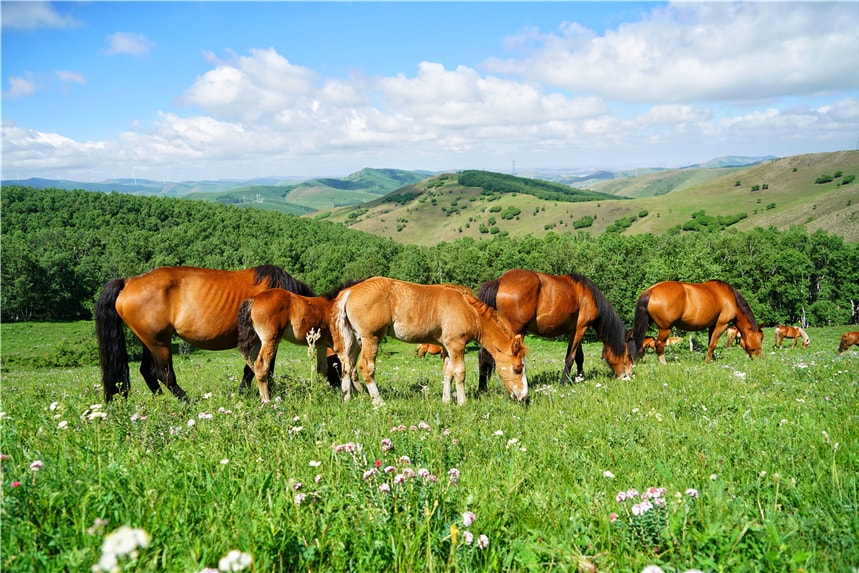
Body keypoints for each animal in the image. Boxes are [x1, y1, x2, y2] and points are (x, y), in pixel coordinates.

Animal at [96, 264, 316, 402]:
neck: (289, 300)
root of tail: (129, 281)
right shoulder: (265, 340)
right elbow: (260, 369)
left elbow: (254, 369)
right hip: (159, 342)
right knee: (163, 374)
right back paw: (187, 402)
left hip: (150, 341)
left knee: (147, 372)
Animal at [330, 278, 528, 406]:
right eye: (517, 369)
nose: (524, 397)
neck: (468, 310)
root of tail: (350, 291)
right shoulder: (456, 345)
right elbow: (459, 372)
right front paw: (462, 402)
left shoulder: (446, 347)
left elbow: (447, 372)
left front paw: (446, 401)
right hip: (371, 337)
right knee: (365, 367)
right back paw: (379, 402)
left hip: (354, 340)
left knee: (347, 365)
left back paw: (347, 399)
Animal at [478, 270, 632, 388]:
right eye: (628, 355)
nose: (627, 376)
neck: (589, 295)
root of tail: (499, 281)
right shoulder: (581, 328)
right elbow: (570, 358)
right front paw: (564, 383)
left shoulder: (574, 330)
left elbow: (579, 357)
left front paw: (580, 378)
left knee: (483, 356)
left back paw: (482, 390)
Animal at [628, 280, 764, 362]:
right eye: (761, 338)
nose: (760, 358)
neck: (731, 299)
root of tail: (650, 291)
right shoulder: (722, 324)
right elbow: (713, 343)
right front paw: (707, 362)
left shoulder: (712, 326)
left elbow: (710, 343)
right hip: (665, 328)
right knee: (659, 344)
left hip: (646, 323)